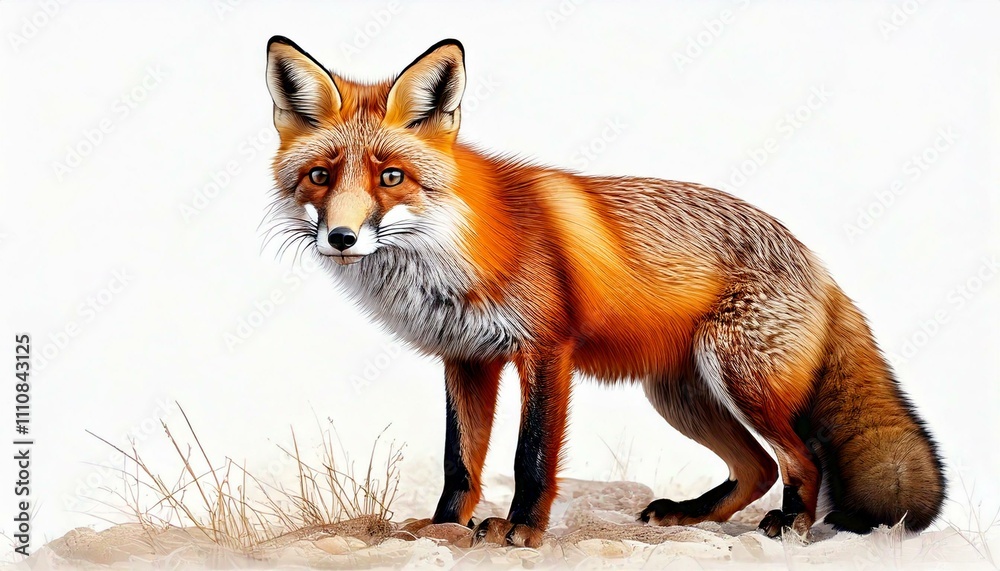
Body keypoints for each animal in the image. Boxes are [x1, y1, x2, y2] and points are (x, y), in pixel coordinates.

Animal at [263, 36, 944, 547]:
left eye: (391, 177)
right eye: (320, 176)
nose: (342, 237)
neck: (453, 252)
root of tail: (817, 264)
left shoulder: (545, 350)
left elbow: (531, 455)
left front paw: (520, 531)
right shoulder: (467, 358)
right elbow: (462, 462)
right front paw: (442, 527)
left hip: (738, 381)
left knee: (804, 459)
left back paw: (792, 523)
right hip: (682, 398)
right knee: (758, 467)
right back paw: (690, 516)